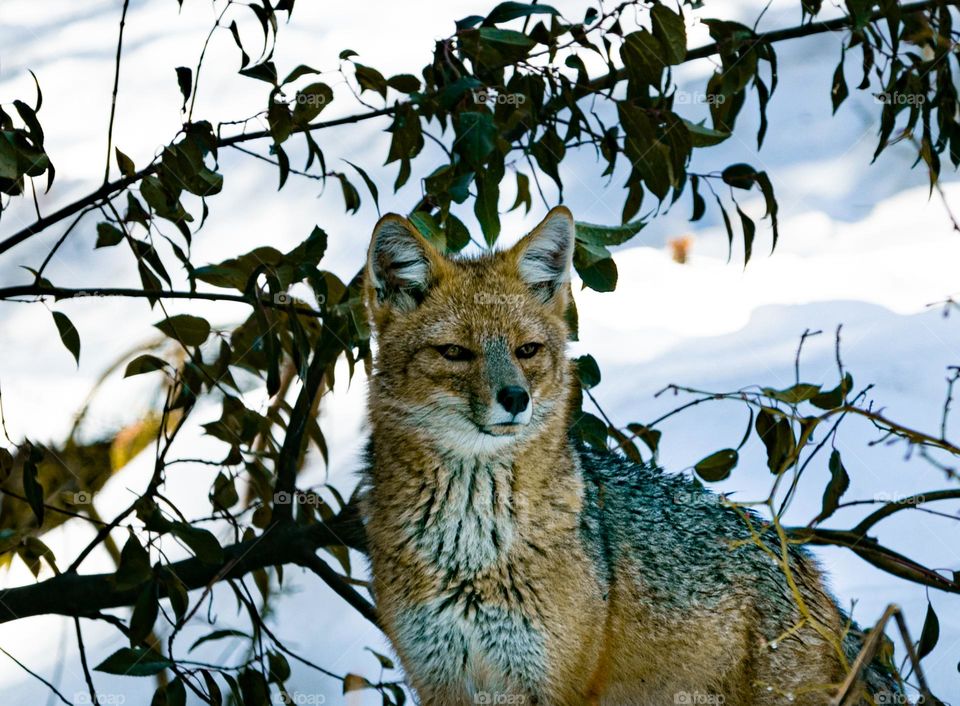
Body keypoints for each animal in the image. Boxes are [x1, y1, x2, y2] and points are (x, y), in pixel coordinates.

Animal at [358, 206, 900, 700]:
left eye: (526, 350)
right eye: (454, 353)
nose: (515, 398)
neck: (470, 551)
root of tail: (803, 565)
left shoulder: (552, 685)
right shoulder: (441, 680)